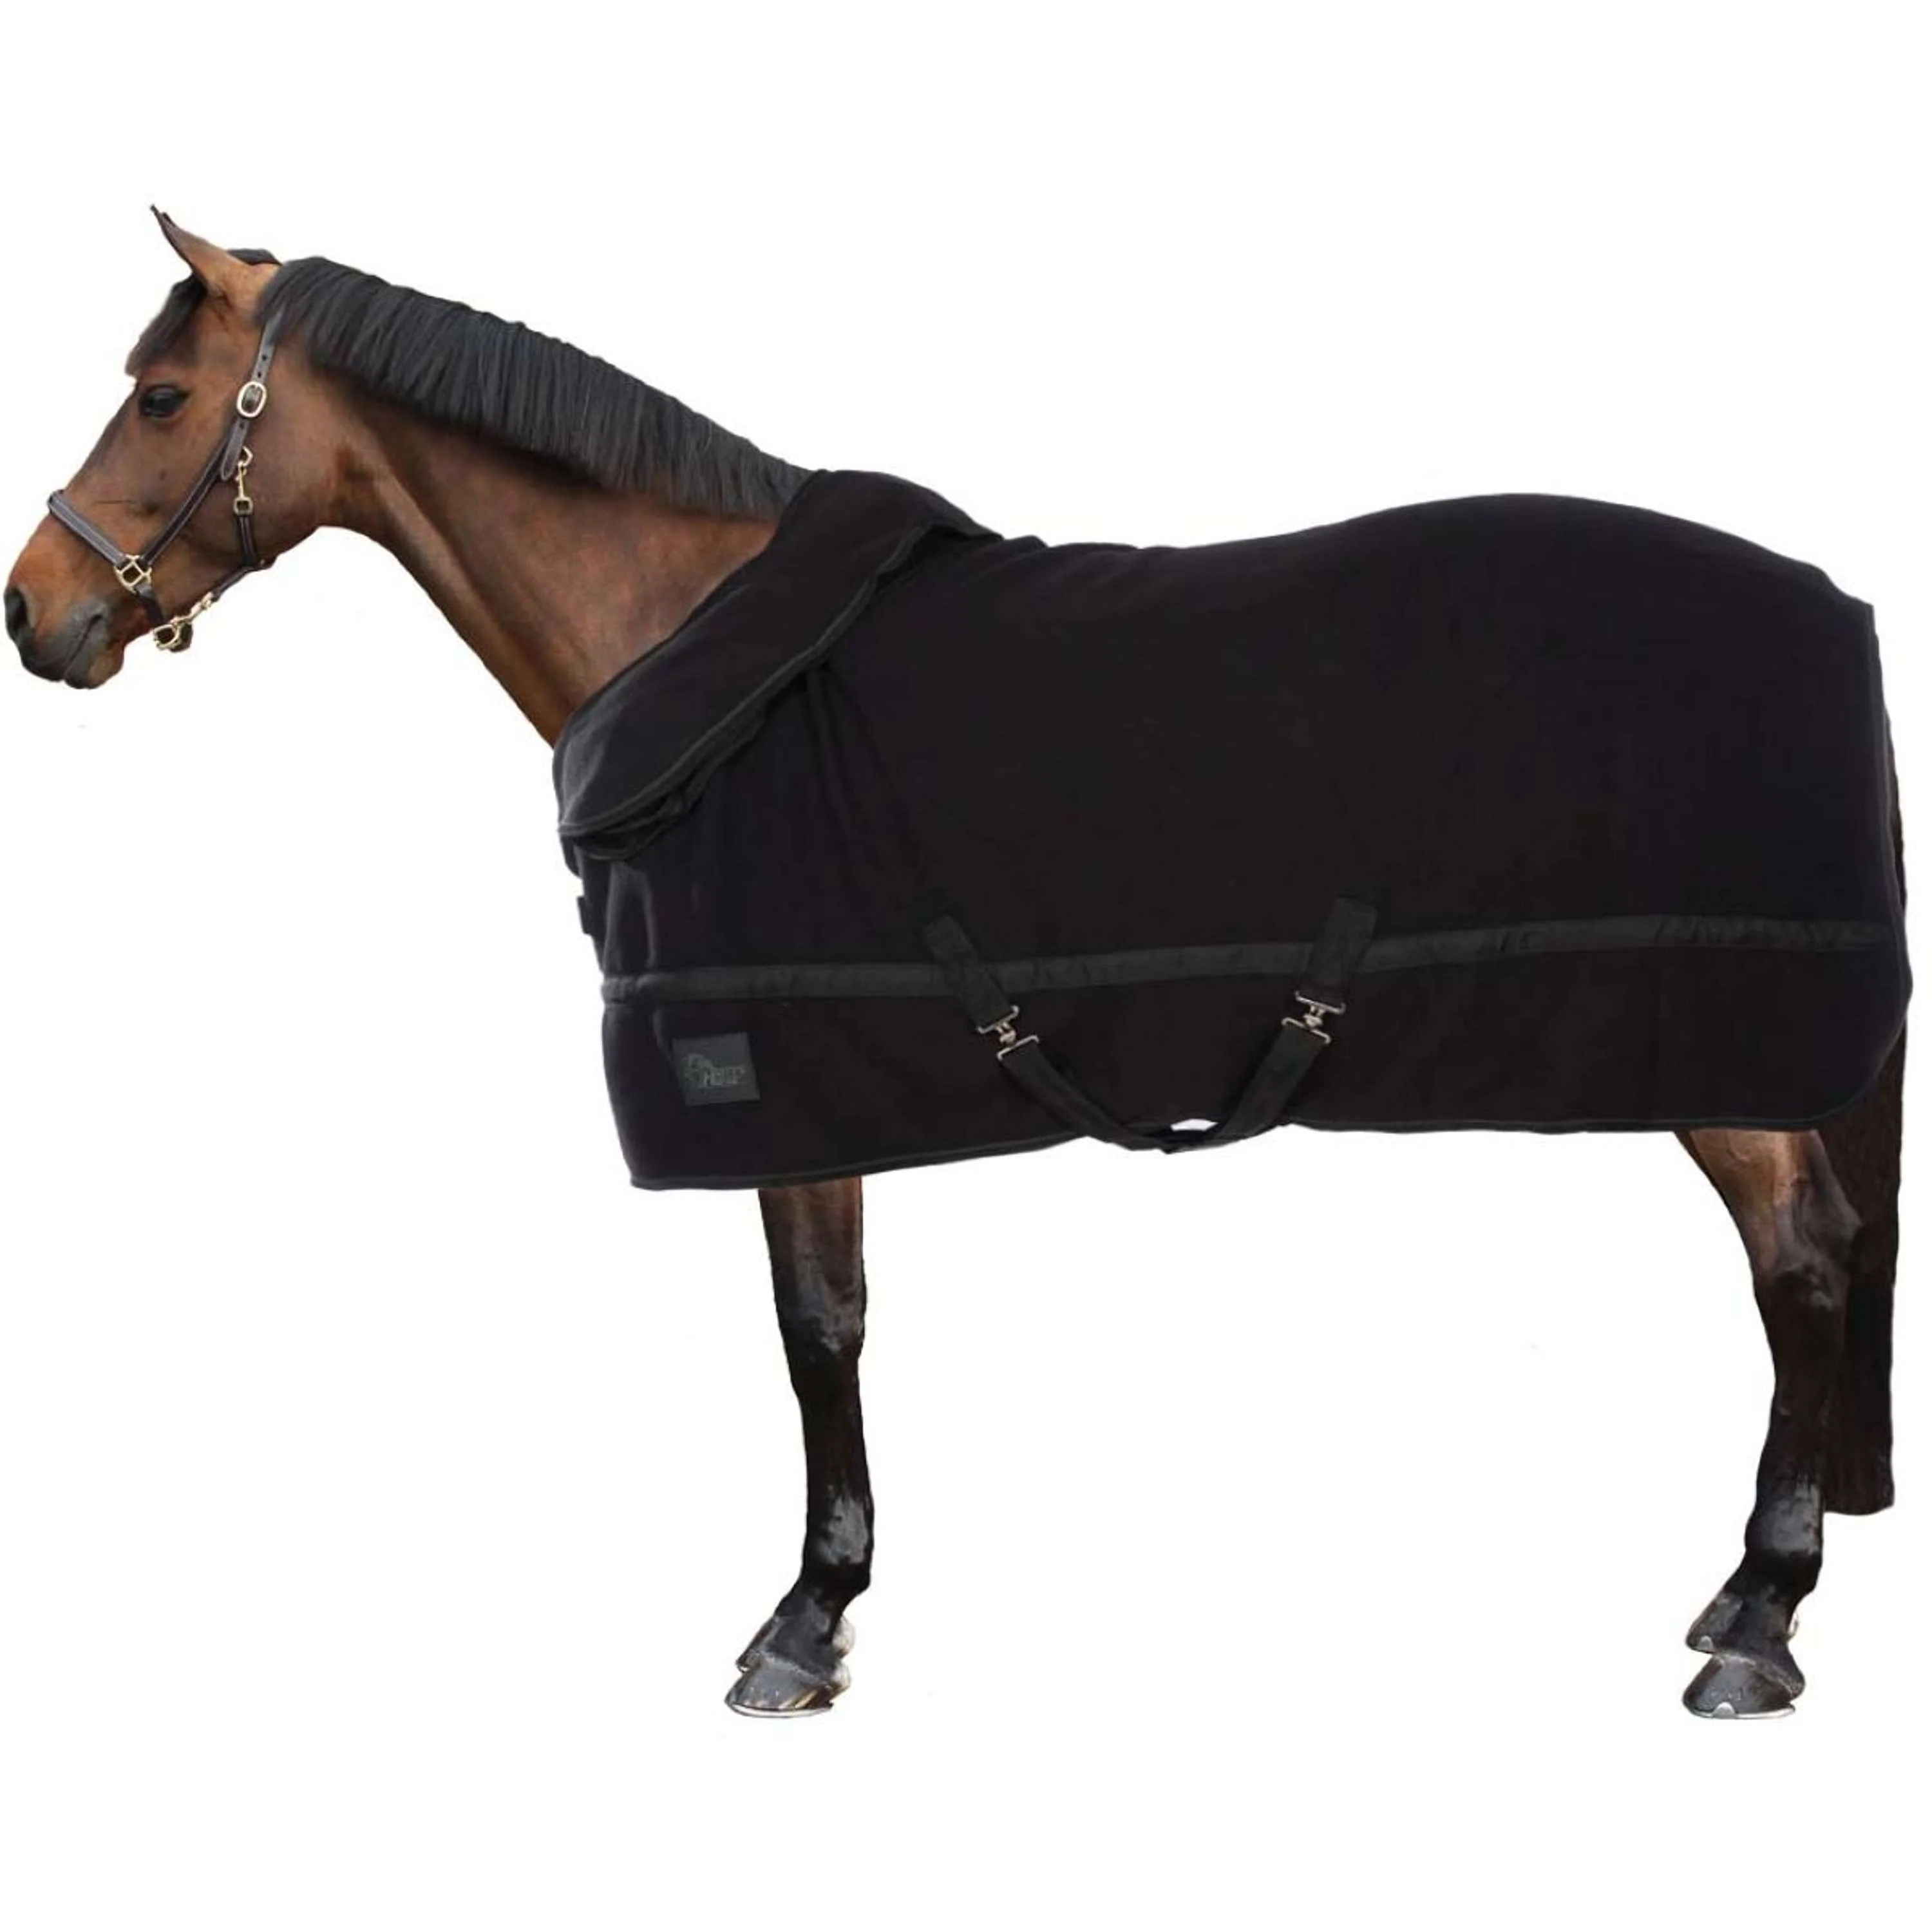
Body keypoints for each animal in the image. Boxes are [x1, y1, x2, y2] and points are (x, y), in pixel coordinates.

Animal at [5, 212, 1906, 1721]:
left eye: (161, 397)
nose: (36, 613)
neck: (703, 649)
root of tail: (1828, 606)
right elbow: (831, 1322)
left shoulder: (773, 1076)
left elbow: (818, 1329)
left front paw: (804, 1619)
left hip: (1724, 1047)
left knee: (1803, 1260)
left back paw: (1760, 1620)